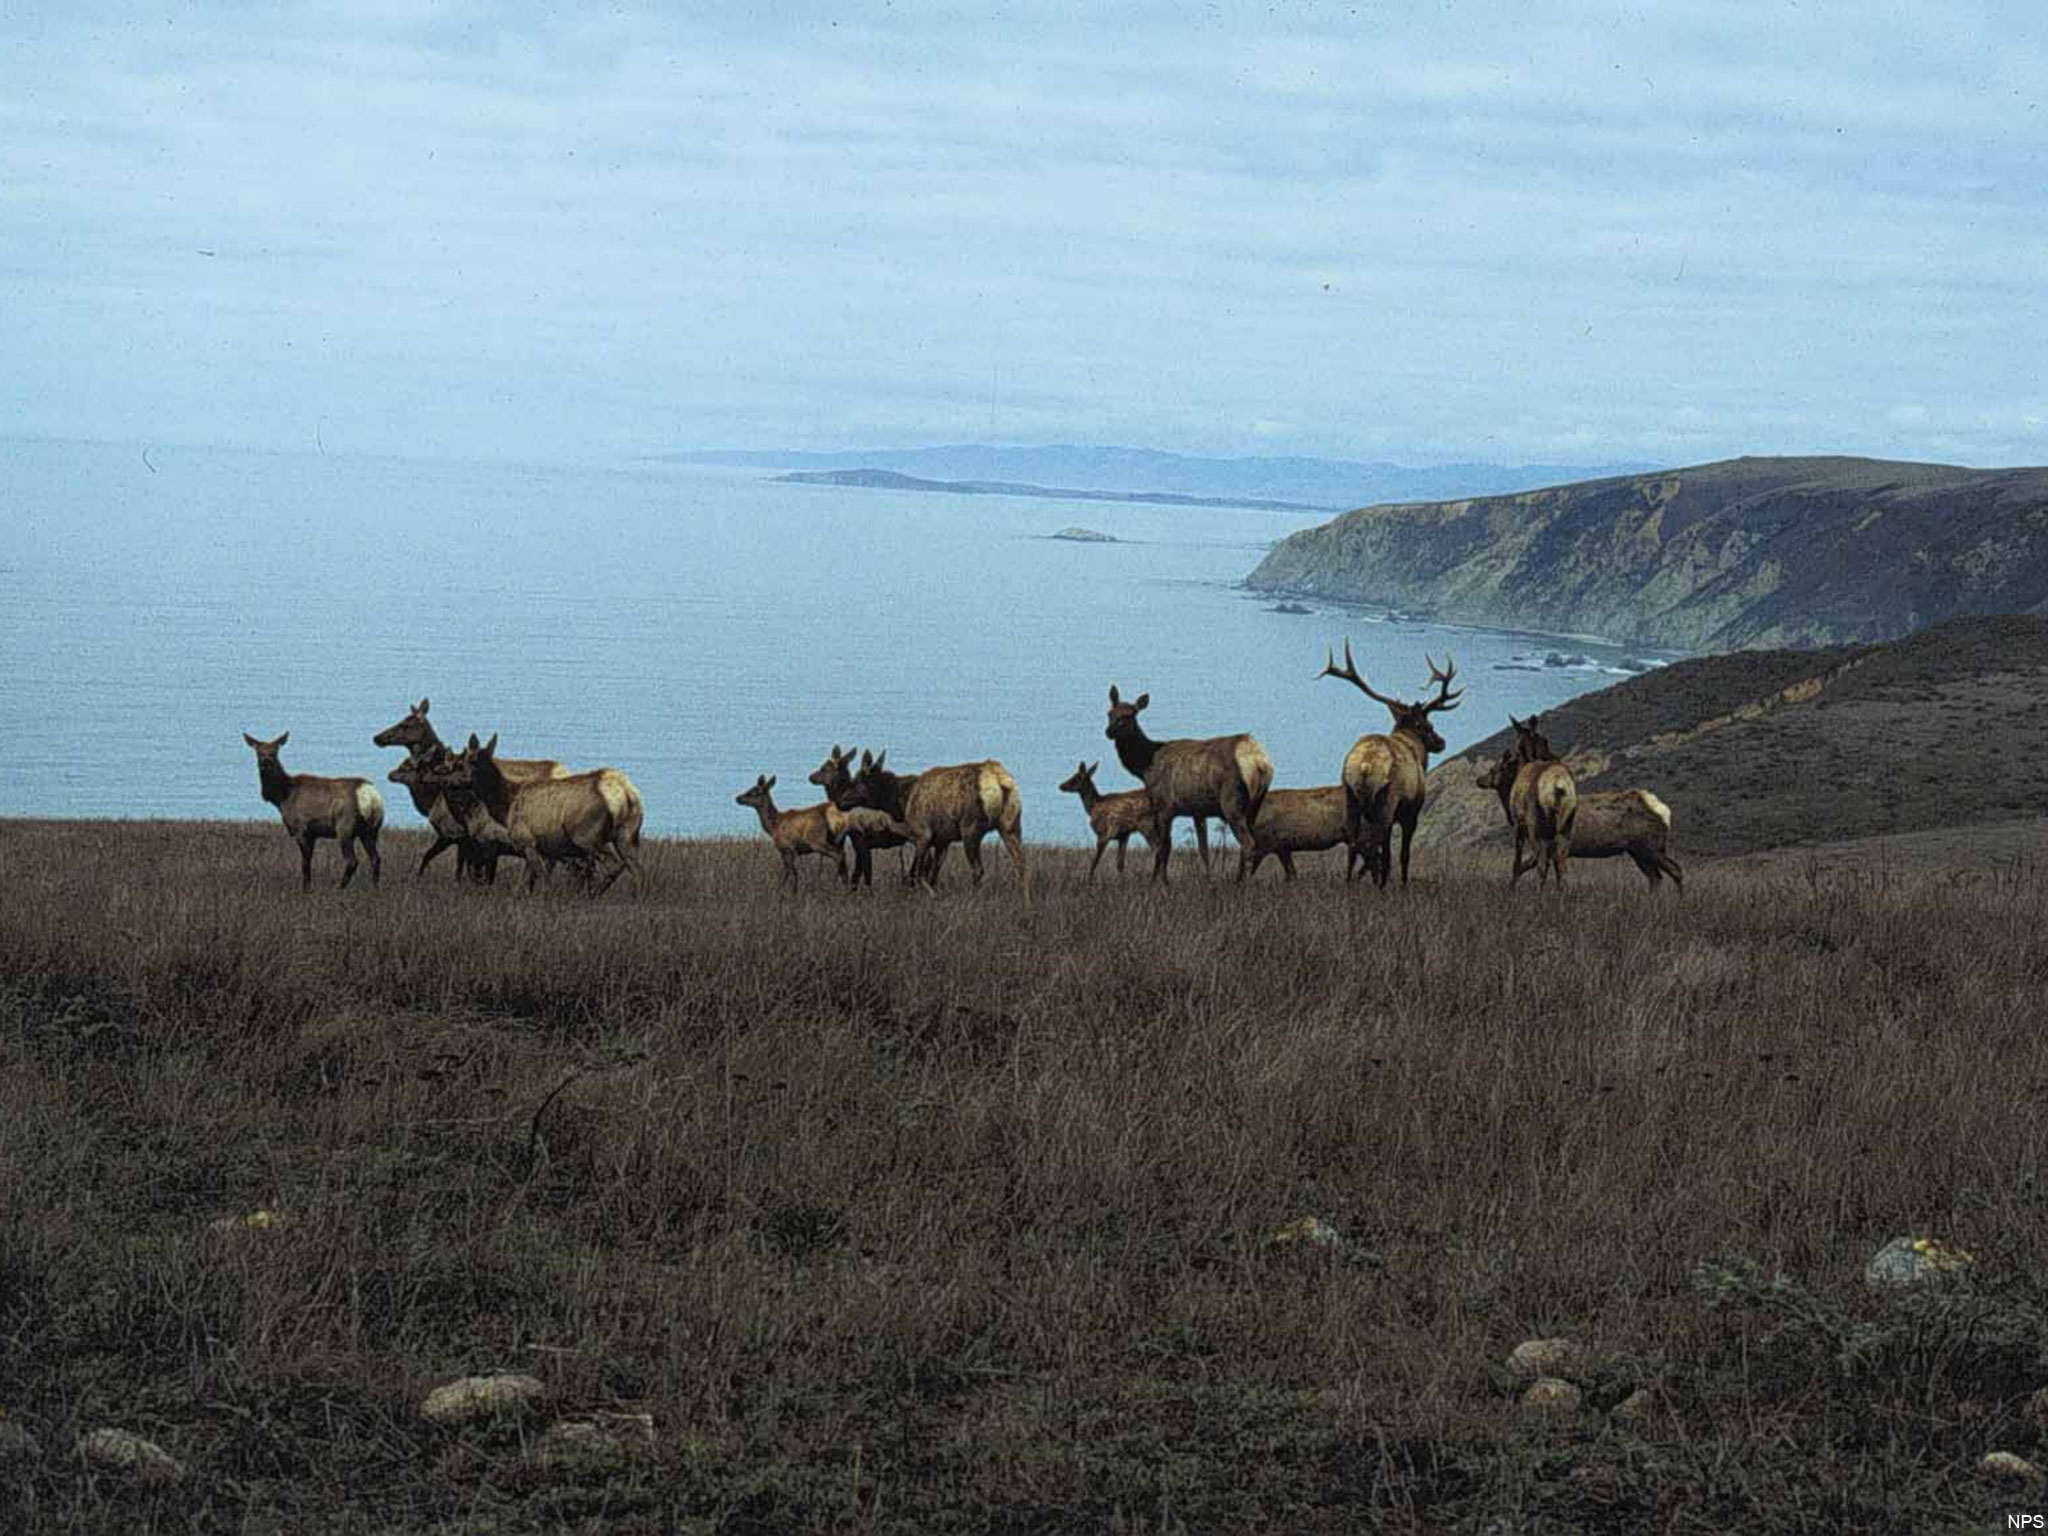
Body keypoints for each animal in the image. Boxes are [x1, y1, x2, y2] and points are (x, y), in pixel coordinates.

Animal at [242, 731, 385, 891]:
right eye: (258, 752)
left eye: (275, 751)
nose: (266, 762)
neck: (282, 797)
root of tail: (371, 796)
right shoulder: (313, 833)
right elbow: (309, 861)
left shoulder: (301, 828)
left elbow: (304, 863)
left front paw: (306, 889)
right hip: (371, 830)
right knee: (376, 858)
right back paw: (374, 887)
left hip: (345, 827)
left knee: (352, 861)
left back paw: (339, 888)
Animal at [409, 734, 643, 893]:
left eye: (460, 763)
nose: (444, 779)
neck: (504, 806)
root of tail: (625, 794)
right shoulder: (543, 849)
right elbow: (525, 882)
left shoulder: (527, 842)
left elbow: (539, 880)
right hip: (629, 835)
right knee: (636, 868)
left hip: (587, 836)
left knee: (614, 864)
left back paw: (593, 892)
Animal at [1102, 685, 1273, 883]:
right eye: (1110, 713)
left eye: (1130, 715)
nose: (1109, 731)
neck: (1145, 766)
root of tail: (1259, 761)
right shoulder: (1197, 811)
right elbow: (1202, 848)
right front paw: (1207, 880)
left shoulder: (1164, 805)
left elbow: (1163, 848)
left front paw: (1158, 882)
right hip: (1254, 804)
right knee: (1251, 841)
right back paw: (1239, 880)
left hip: (1231, 800)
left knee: (1248, 842)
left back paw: (1242, 883)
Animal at [1317, 643, 1462, 889]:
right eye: (1428, 725)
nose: (1441, 742)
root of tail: (1365, 765)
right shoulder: (1411, 810)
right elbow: (1402, 854)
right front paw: (1401, 884)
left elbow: (1384, 851)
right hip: (1386, 801)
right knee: (1375, 844)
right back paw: (1376, 881)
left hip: (1351, 798)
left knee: (1354, 844)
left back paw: (1351, 880)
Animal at [1474, 748, 1577, 887]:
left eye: (1492, 769)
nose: (1479, 780)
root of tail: (1559, 783)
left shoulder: (1519, 824)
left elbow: (1517, 860)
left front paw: (1512, 884)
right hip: (1566, 823)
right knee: (1560, 862)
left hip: (1535, 822)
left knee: (1542, 860)